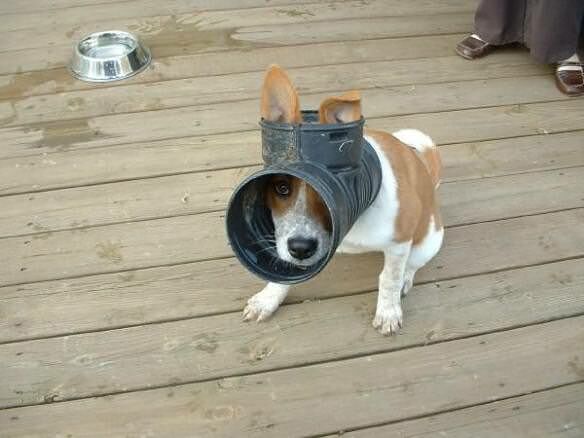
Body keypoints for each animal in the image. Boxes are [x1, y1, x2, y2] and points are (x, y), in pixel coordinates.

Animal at [242, 64, 442, 336]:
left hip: (429, 240)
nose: (301, 249)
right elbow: (281, 272)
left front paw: (388, 311)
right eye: (281, 188)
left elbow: (389, 279)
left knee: (411, 266)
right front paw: (267, 299)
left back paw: (405, 280)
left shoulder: (400, 241)